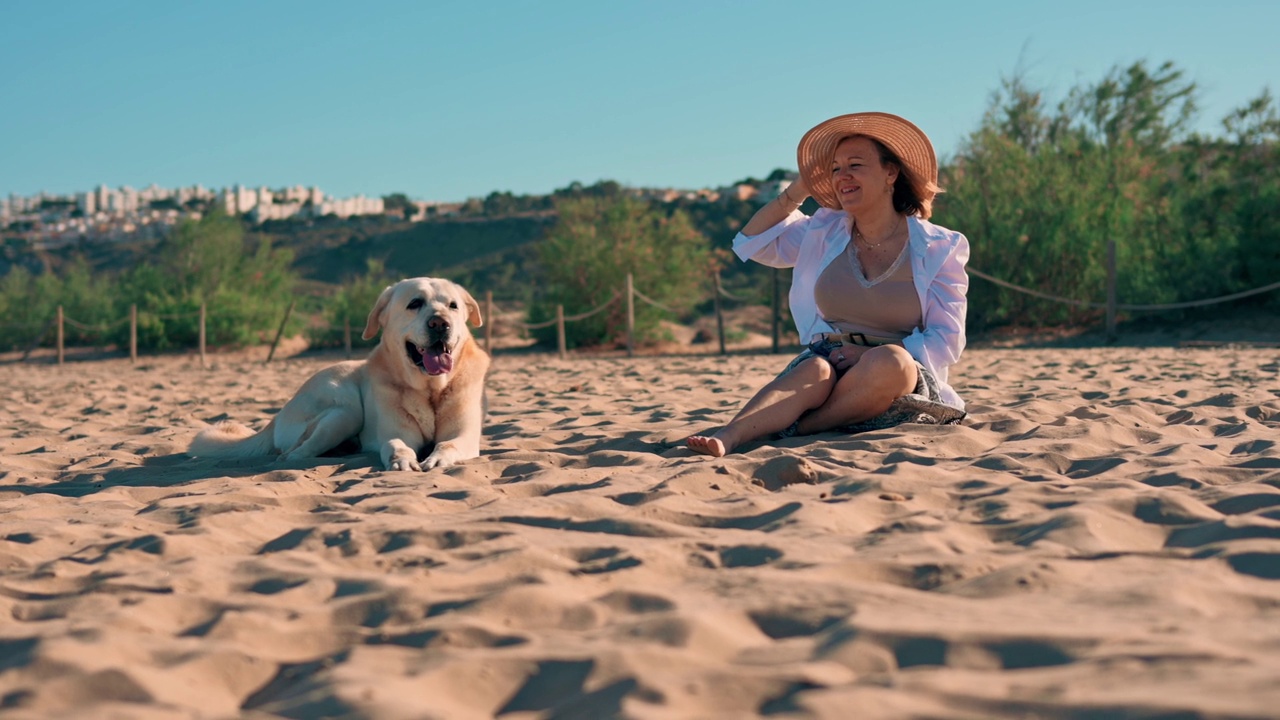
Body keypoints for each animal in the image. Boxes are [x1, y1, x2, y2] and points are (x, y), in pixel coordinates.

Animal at [188, 275, 488, 471]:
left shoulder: (464, 435)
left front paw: (435, 459)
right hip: (346, 412)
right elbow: (396, 445)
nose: (440, 323)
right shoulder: (396, 433)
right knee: (292, 453)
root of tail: (276, 417)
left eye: (453, 306)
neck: (430, 389)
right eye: (415, 303)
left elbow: (447, 445)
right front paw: (401, 460)